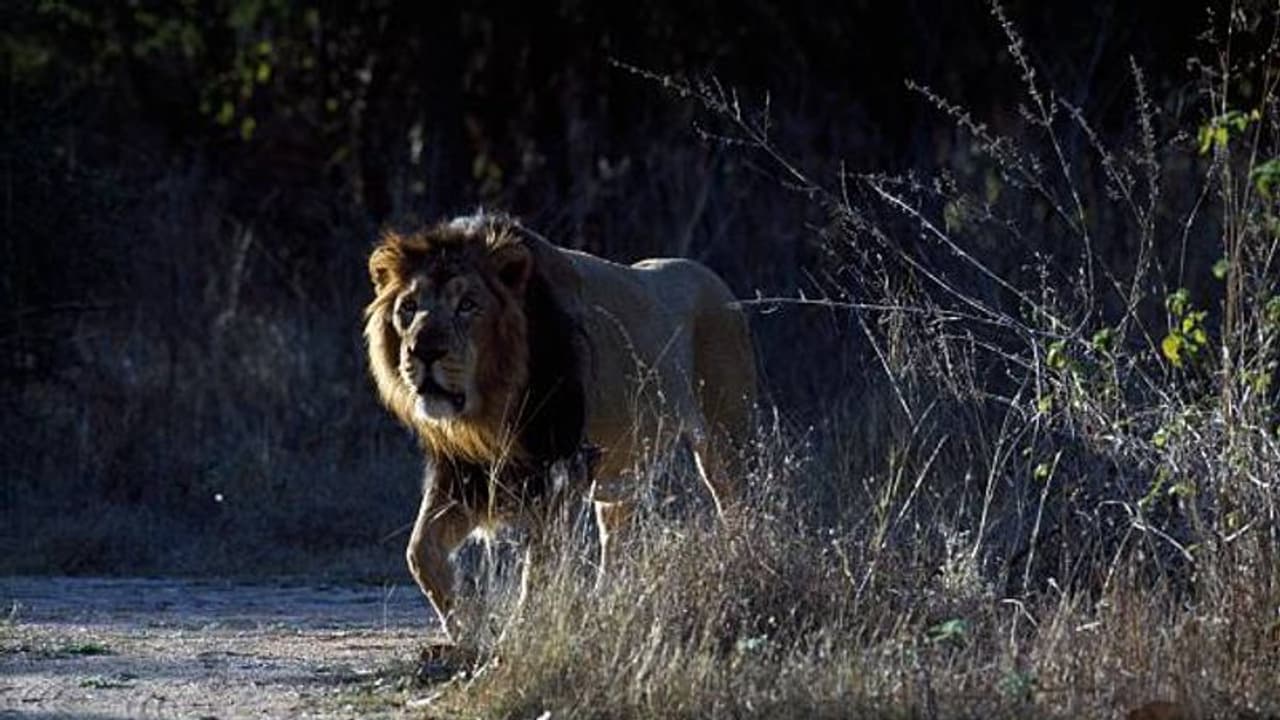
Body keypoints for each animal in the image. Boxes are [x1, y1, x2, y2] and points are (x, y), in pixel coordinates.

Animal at [364, 211, 756, 636]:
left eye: (467, 305)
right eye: (408, 307)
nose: (424, 351)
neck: (489, 410)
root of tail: (716, 281)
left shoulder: (562, 468)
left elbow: (539, 565)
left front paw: (518, 630)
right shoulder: (464, 473)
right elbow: (419, 552)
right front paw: (469, 626)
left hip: (725, 442)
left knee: (738, 507)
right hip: (622, 476)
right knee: (615, 541)